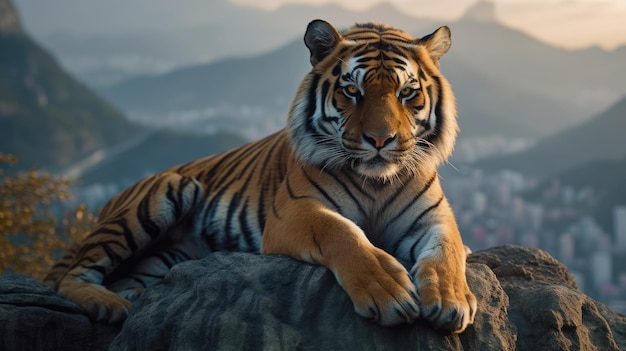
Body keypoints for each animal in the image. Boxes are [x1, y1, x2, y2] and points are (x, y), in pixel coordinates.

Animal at [42, 18, 472, 332]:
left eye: (406, 93)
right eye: (352, 91)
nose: (381, 139)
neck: (376, 182)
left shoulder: (435, 217)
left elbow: (448, 250)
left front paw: (451, 299)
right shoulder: (295, 213)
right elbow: (343, 233)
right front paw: (388, 288)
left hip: (164, 258)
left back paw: (129, 298)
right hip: (165, 192)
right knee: (71, 275)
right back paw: (109, 304)